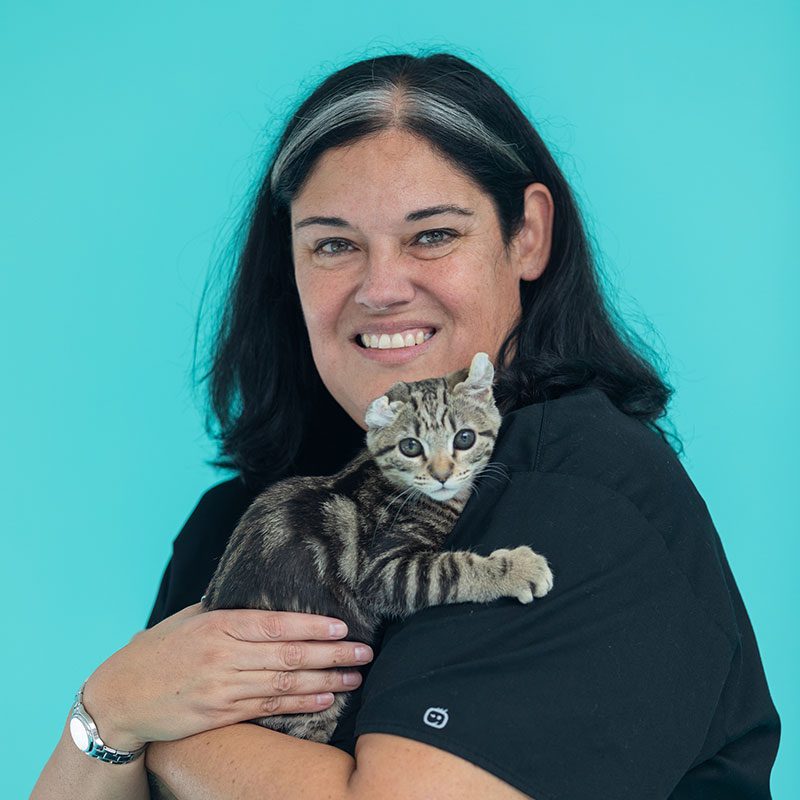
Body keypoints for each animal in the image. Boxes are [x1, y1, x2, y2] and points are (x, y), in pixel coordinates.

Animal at [203, 354, 552, 744]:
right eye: (410, 446)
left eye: (464, 438)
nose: (443, 474)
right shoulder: (381, 571)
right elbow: (452, 569)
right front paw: (518, 569)